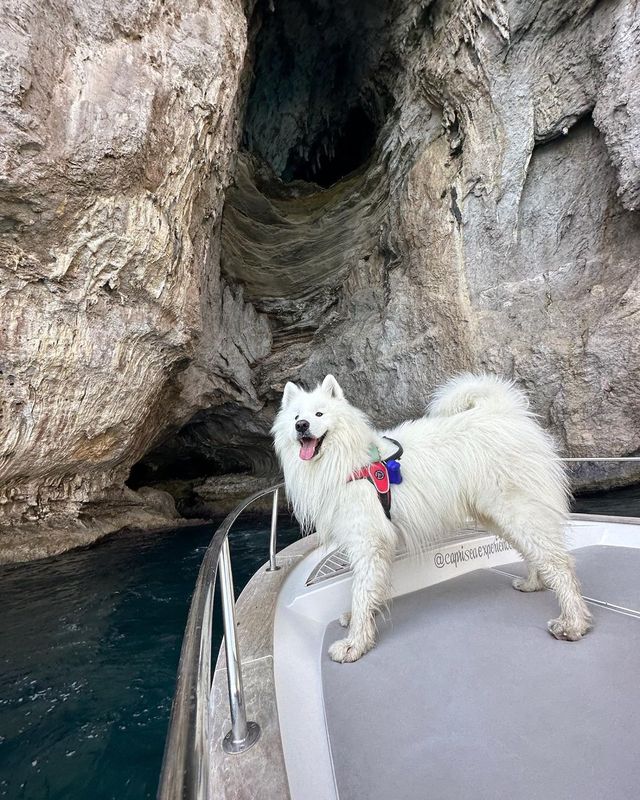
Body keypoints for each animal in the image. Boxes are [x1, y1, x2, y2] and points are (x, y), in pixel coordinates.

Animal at [270, 376, 592, 664]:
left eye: (319, 413)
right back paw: (533, 584)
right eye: (296, 416)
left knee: (559, 563)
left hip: (516, 509)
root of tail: (505, 412)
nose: (301, 426)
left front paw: (354, 645)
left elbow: (361, 590)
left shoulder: (368, 541)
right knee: (534, 553)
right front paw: (361, 620)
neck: (346, 462)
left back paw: (572, 623)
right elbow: (368, 589)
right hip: (498, 515)